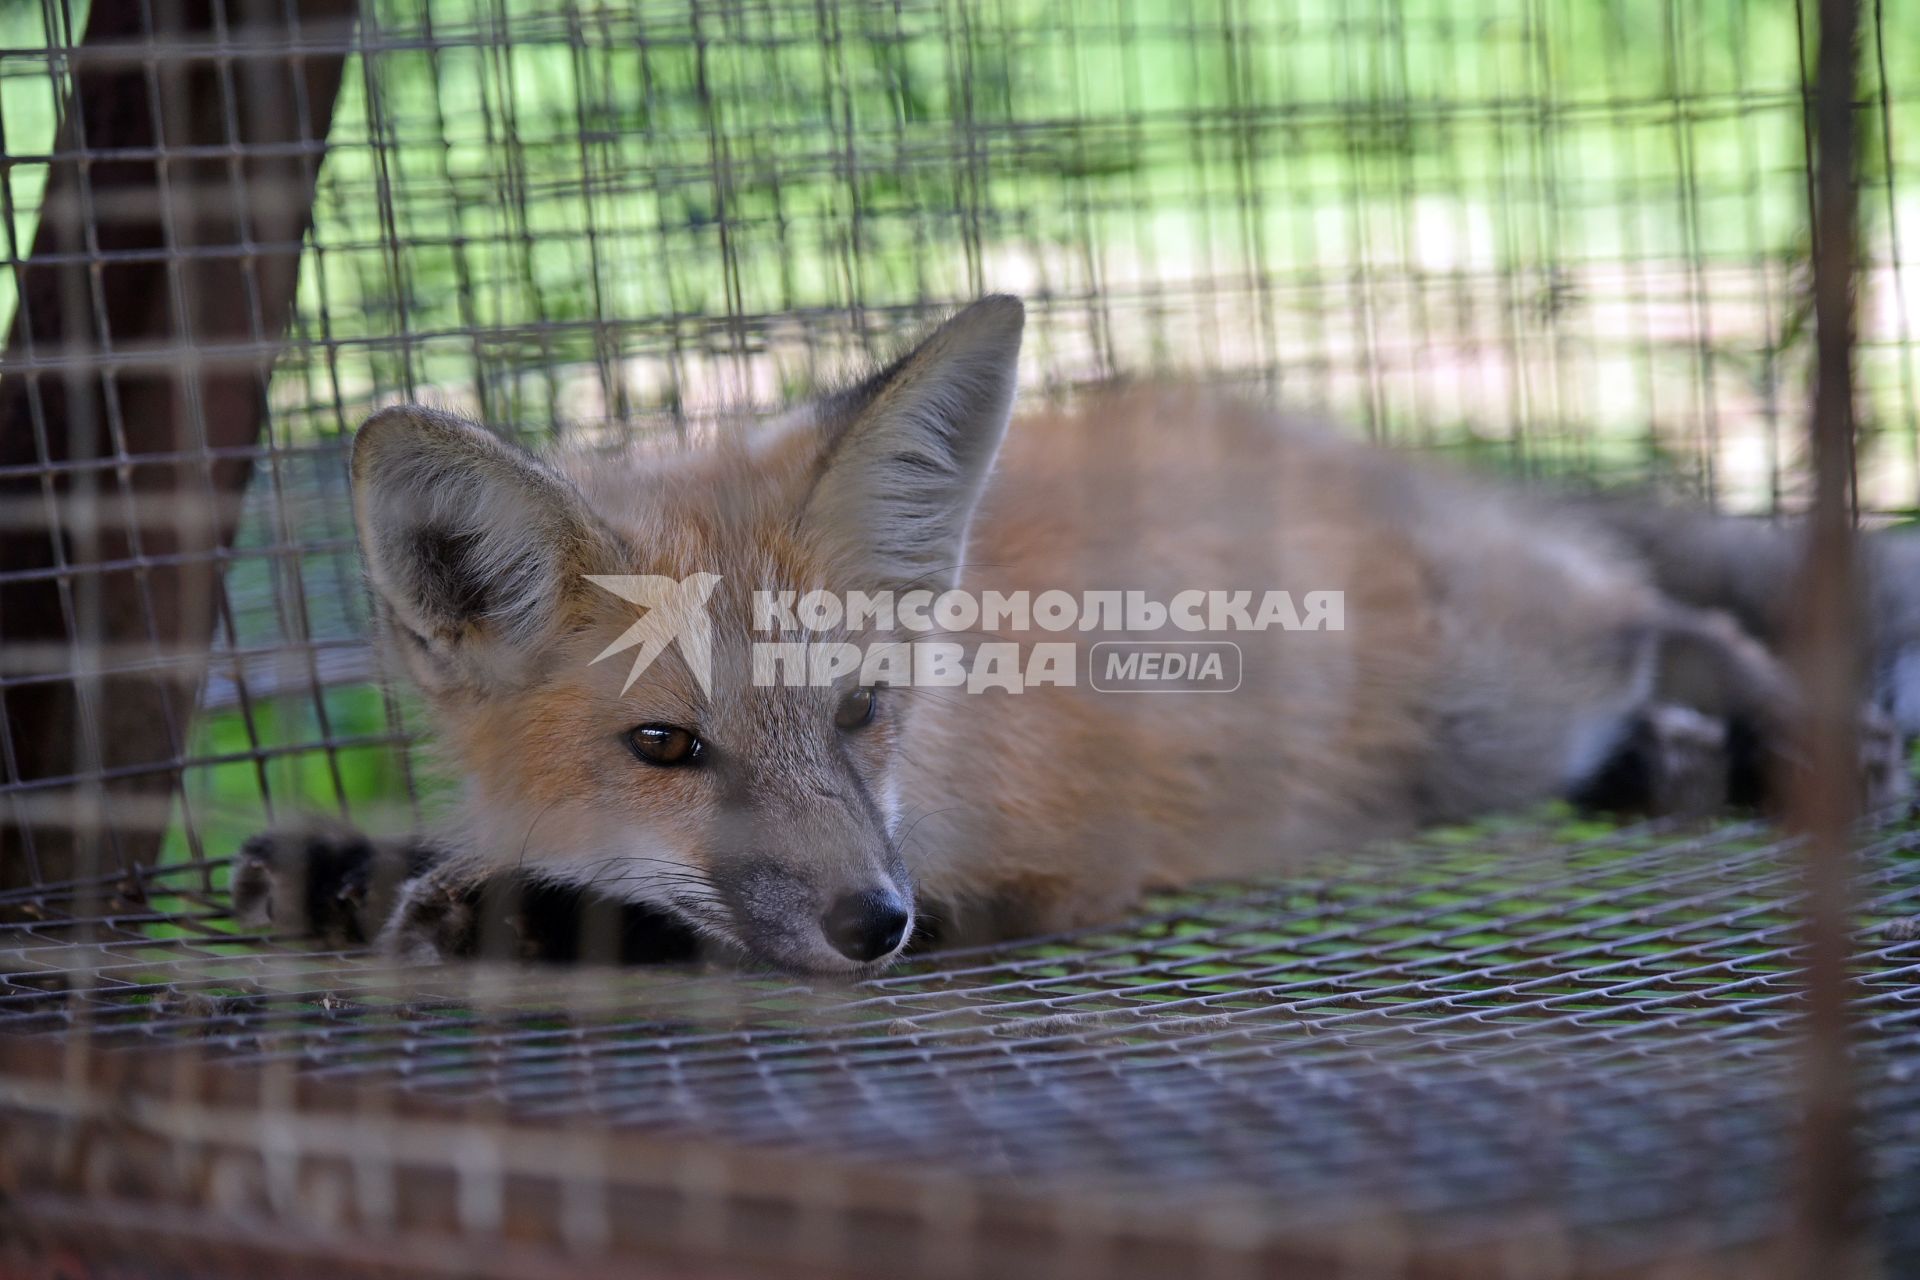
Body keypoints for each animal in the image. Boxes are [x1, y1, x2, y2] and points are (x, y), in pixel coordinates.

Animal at [240, 293, 1920, 971]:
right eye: (662, 744)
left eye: (862, 710)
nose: (872, 922)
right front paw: (360, 865)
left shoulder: (1019, 878)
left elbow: (670, 925)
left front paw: (526, 915)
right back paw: (1677, 759)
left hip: (1507, 689)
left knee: (1664, 612)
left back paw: (1782, 733)